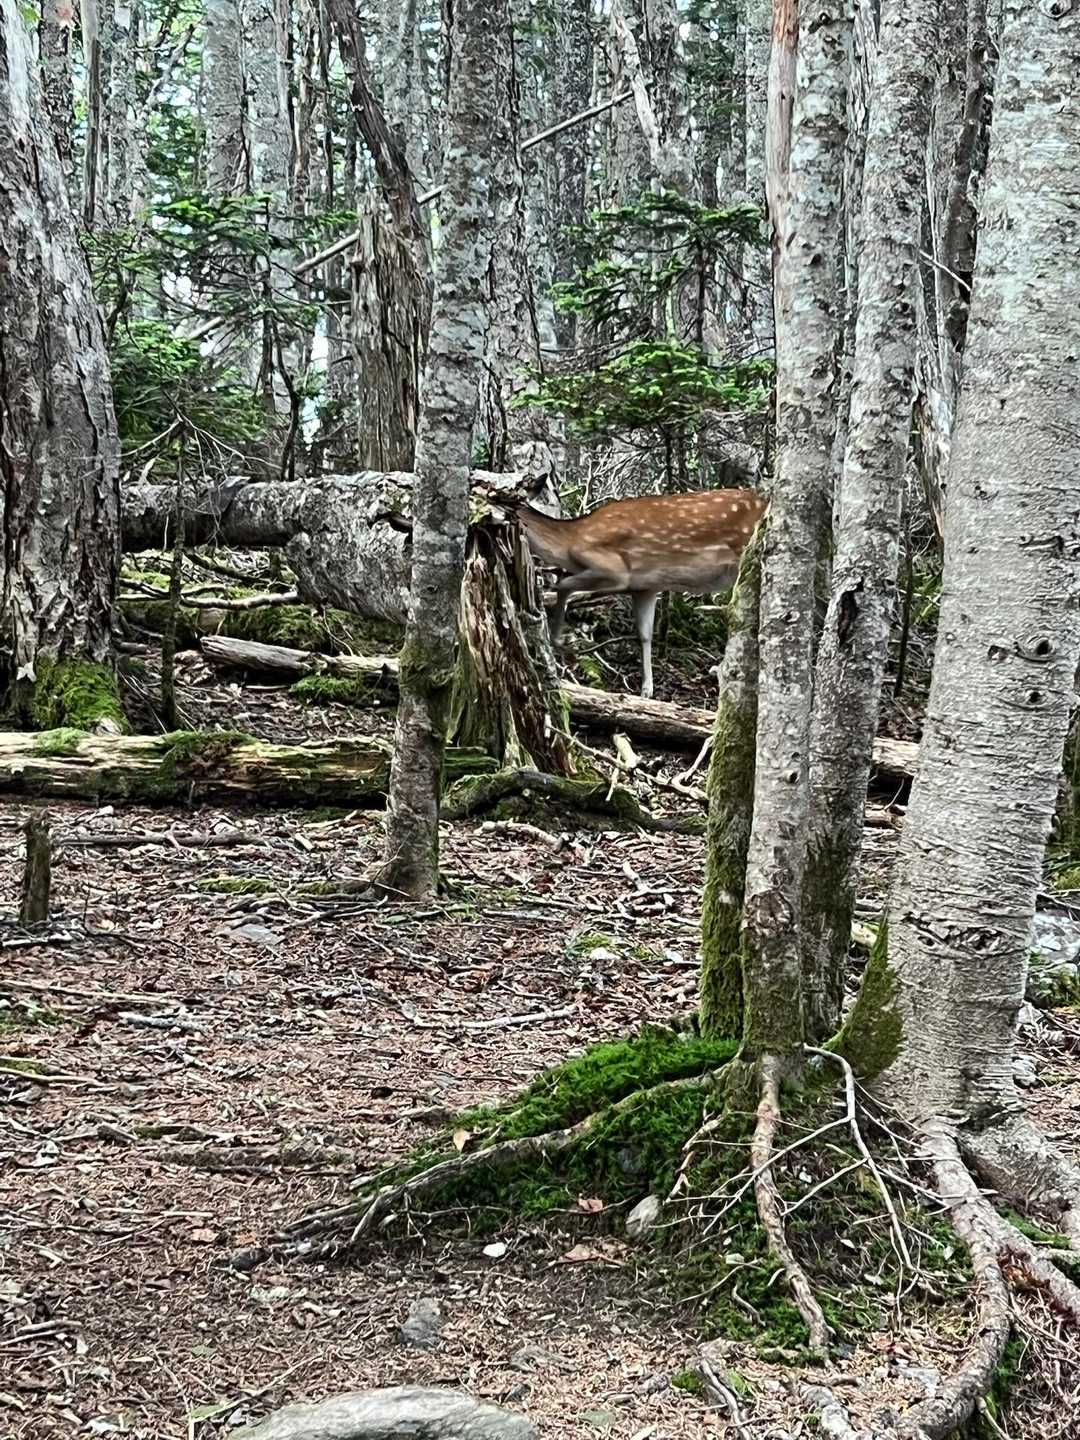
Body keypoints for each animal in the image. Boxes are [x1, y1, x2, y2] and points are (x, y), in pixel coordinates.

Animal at [513, 488, 767, 700]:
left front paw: (558, 639)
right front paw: (647, 690)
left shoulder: (615, 570)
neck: (570, 542)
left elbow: (563, 586)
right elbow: (644, 634)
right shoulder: (644, 586)